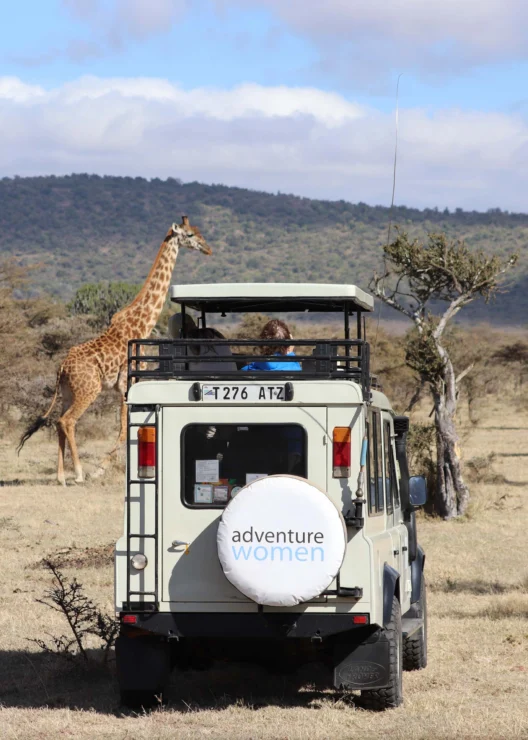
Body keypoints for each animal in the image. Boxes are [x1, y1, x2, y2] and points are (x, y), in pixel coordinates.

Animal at [18, 215, 212, 486]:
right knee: (67, 421)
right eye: (191, 235)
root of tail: (62, 367)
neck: (143, 323)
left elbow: (124, 429)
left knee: (57, 422)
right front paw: (99, 470)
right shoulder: (127, 384)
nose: (208, 248)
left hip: (68, 392)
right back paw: (78, 474)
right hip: (89, 389)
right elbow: (123, 430)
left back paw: (61, 477)